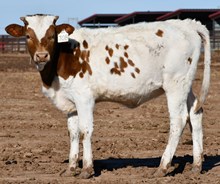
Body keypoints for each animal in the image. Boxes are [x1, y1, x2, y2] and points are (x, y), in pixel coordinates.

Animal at [5, 14, 211, 178]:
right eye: (28, 36)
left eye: (51, 35)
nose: (42, 56)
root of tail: (187, 24)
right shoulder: (70, 102)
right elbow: (73, 133)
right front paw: (71, 168)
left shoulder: (84, 98)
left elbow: (85, 131)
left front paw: (86, 169)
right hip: (185, 85)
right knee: (195, 113)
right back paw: (196, 165)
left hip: (175, 85)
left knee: (178, 120)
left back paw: (163, 167)